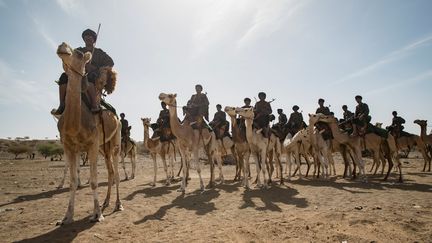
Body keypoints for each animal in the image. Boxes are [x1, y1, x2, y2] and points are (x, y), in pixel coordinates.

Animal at [54, 42, 123, 225]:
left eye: (78, 53)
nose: (62, 46)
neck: (75, 123)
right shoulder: (70, 146)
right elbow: (72, 182)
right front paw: (66, 217)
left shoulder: (91, 145)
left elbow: (93, 182)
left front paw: (97, 214)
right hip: (103, 148)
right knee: (110, 172)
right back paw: (106, 202)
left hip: (115, 142)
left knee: (116, 173)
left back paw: (118, 205)